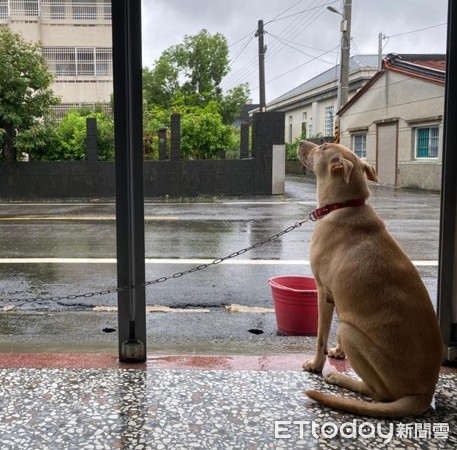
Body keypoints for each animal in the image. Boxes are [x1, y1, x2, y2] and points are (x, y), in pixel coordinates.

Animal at [296, 142, 442, 418]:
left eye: (322, 147)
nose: (299, 143)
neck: (345, 205)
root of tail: (424, 394)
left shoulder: (324, 292)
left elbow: (320, 337)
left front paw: (316, 364)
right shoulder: (341, 298)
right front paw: (338, 353)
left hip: (352, 333)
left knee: (379, 394)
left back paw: (343, 380)